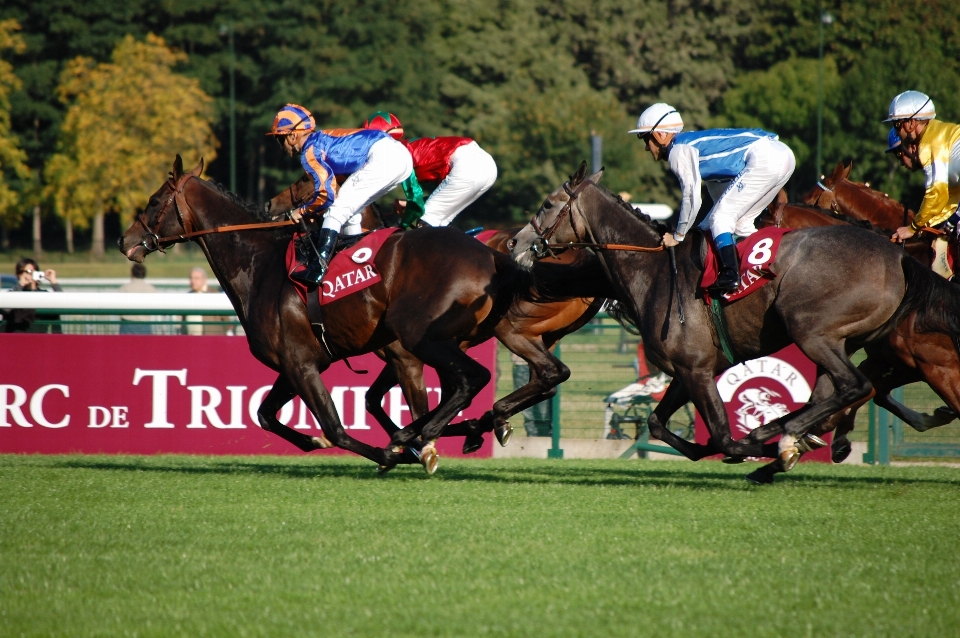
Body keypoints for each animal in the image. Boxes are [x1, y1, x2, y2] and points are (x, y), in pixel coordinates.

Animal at [120, 155, 600, 476]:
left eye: (155, 200)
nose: (126, 241)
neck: (260, 262)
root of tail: (497, 258)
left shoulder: (318, 362)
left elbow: (336, 426)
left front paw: (397, 452)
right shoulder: (297, 363)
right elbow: (267, 414)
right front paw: (323, 439)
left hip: (428, 335)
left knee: (475, 378)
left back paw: (430, 433)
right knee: (541, 374)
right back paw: (466, 426)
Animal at [510, 165, 960, 480]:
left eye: (547, 204)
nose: (515, 242)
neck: (654, 270)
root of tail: (896, 255)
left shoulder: (696, 369)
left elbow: (723, 436)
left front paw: (758, 448)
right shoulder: (689, 369)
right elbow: (657, 423)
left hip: (812, 332)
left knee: (856, 386)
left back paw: (781, 437)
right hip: (844, 342)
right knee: (840, 392)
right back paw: (788, 436)